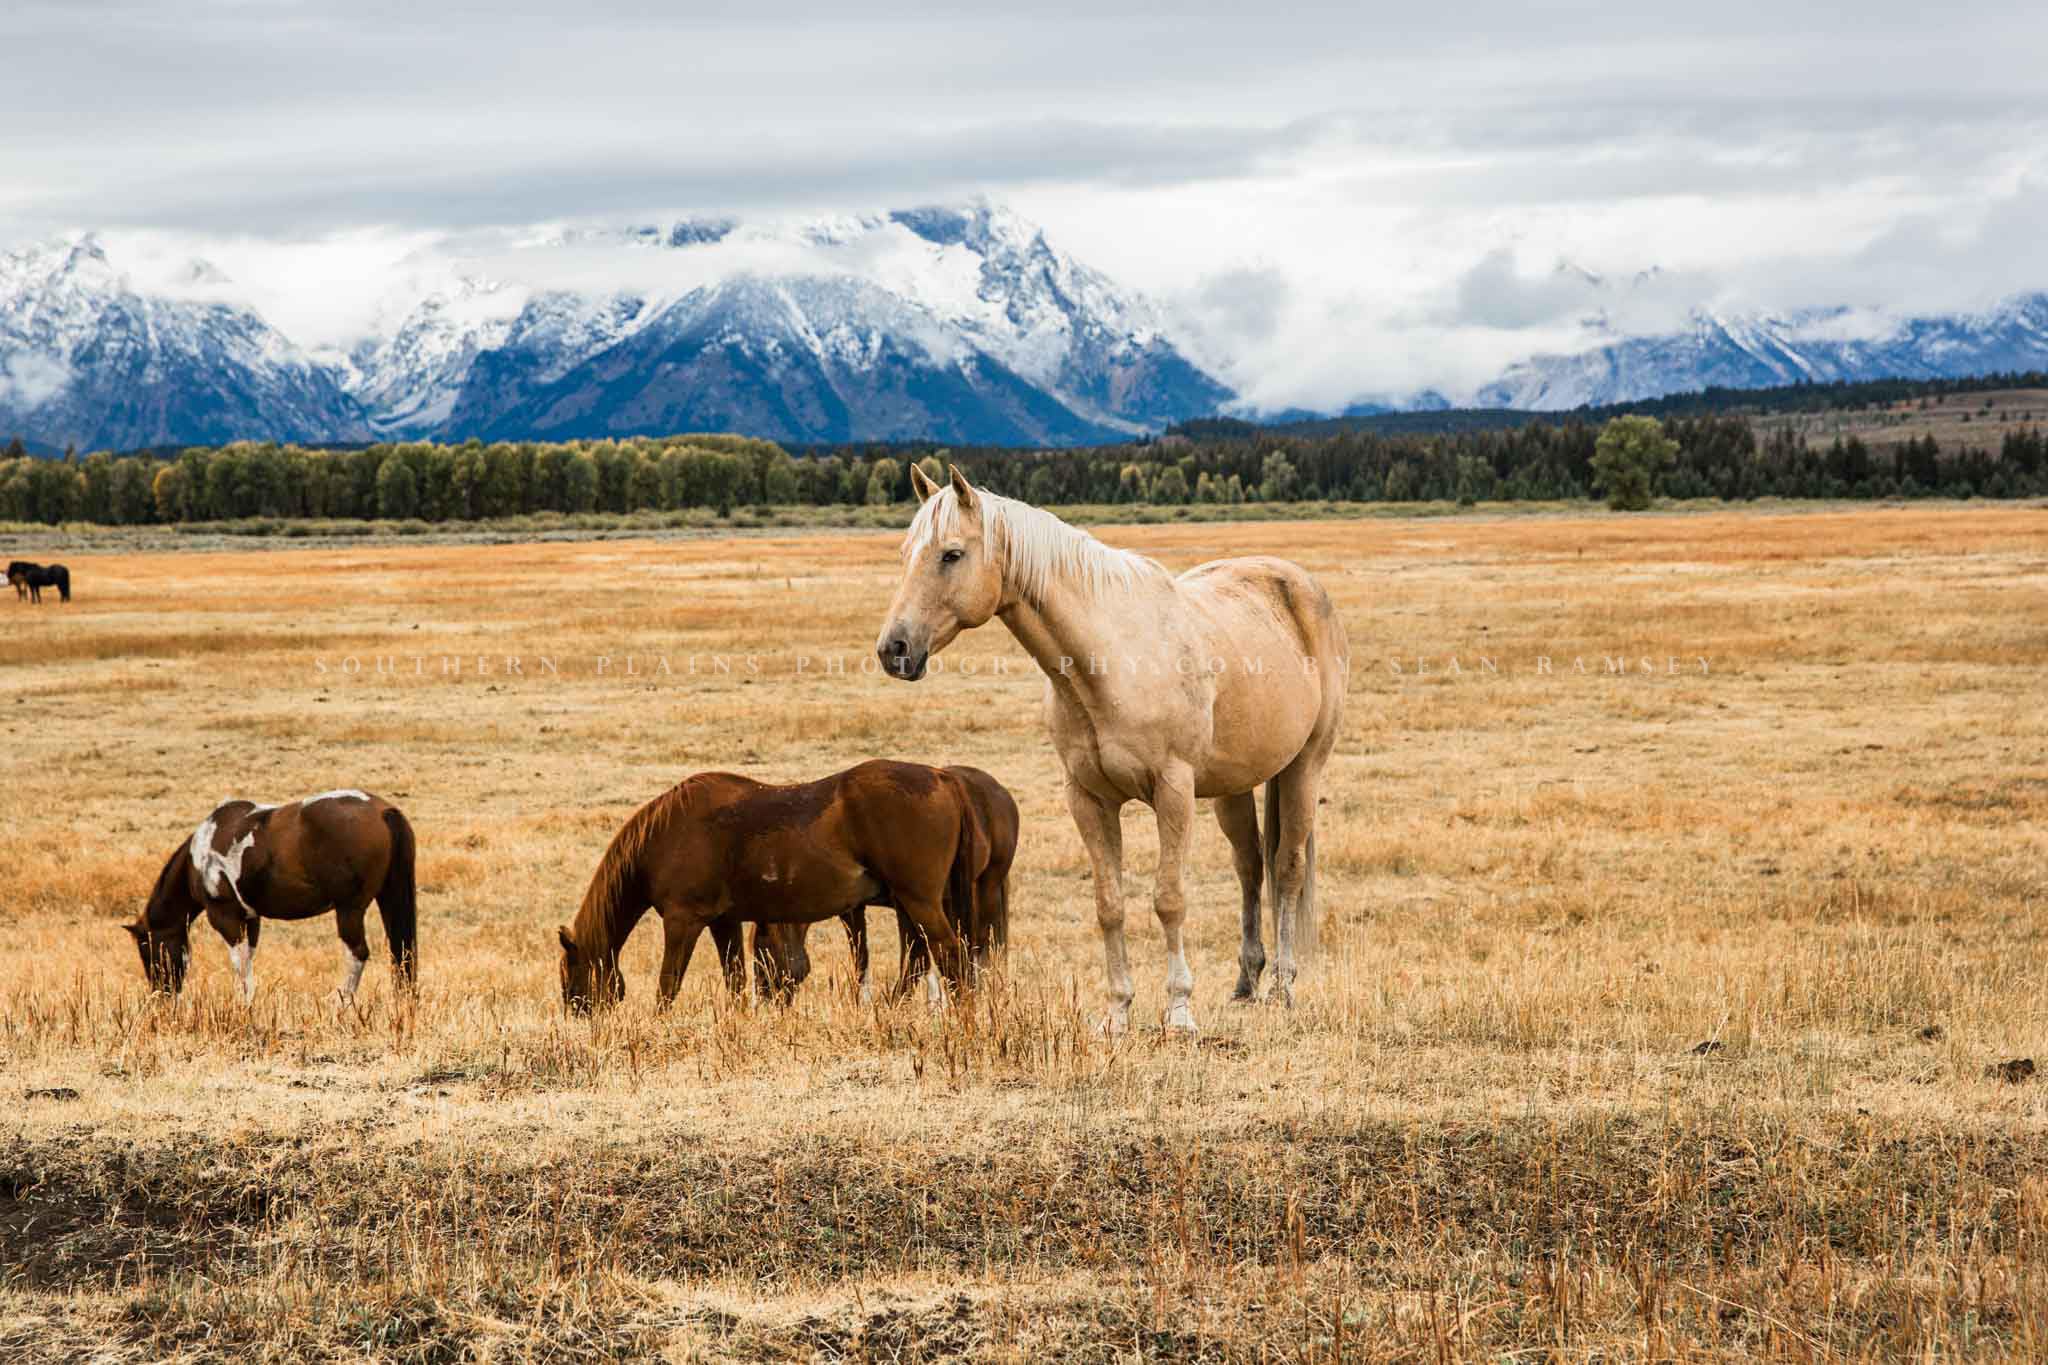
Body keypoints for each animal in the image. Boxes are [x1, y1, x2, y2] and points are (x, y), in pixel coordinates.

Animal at [123, 790, 418, 1003]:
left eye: (147, 950)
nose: (161, 997)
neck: (198, 857)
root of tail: (382, 811)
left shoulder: (224, 917)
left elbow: (240, 964)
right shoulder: (251, 919)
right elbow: (248, 961)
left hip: (349, 910)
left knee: (357, 953)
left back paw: (340, 1004)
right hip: (388, 899)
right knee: (402, 953)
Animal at [555, 760, 986, 1014]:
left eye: (569, 970)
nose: (576, 1013)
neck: (666, 835)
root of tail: (943, 778)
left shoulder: (682, 922)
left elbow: (668, 984)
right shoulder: (723, 922)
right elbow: (735, 981)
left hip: (919, 901)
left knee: (947, 954)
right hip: (916, 903)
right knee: (920, 959)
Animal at [875, 466, 1347, 1037]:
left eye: (951, 554)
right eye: (906, 553)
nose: (894, 649)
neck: (1109, 661)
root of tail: (1299, 584)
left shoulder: (1173, 791)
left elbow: (1169, 900)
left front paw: (1179, 1010)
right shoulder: (1088, 799)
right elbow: (1109, 904)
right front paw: (1117, 1011)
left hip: (1304, 767)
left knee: (1287, 868)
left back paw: (1282, 985)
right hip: (1233, 786)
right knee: (1251, 867)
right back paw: (1246, 982)